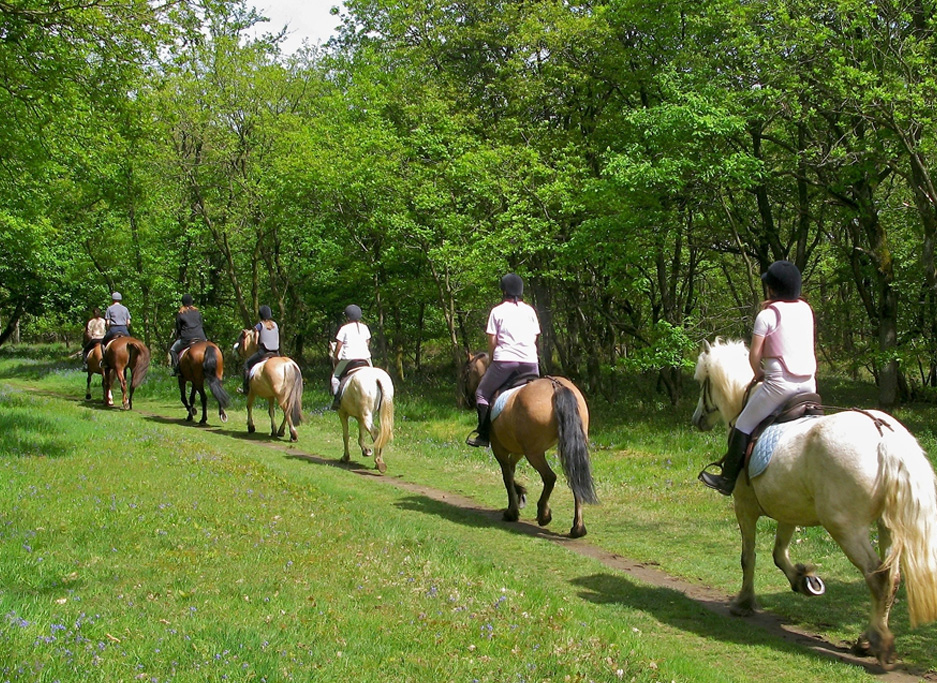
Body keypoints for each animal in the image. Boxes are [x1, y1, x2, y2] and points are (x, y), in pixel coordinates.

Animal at [464, 358, 596, 540]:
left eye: (466, 373)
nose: (466, 401)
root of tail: (556, 385)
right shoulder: (518, 450)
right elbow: (511, 470)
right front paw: (520, 494)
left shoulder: (500, 449)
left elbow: (507, 476)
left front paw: (512, 511)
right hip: (568, 448)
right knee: (575, 479)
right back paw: (578, 528)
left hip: (534, 453)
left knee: (549, 477)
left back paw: (543, 514)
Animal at [688, 340, 936, 664]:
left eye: (702, 382)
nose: (697, 420)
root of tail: (883, 434)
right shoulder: (788, 510)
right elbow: (778, 554)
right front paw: (804, 581)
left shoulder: (744, 508)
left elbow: (748, 557)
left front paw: (744, 602)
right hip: (888, 527)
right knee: (891, 579)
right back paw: (867, 638)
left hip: (846, 528)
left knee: (876, 577)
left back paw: (875, 642)